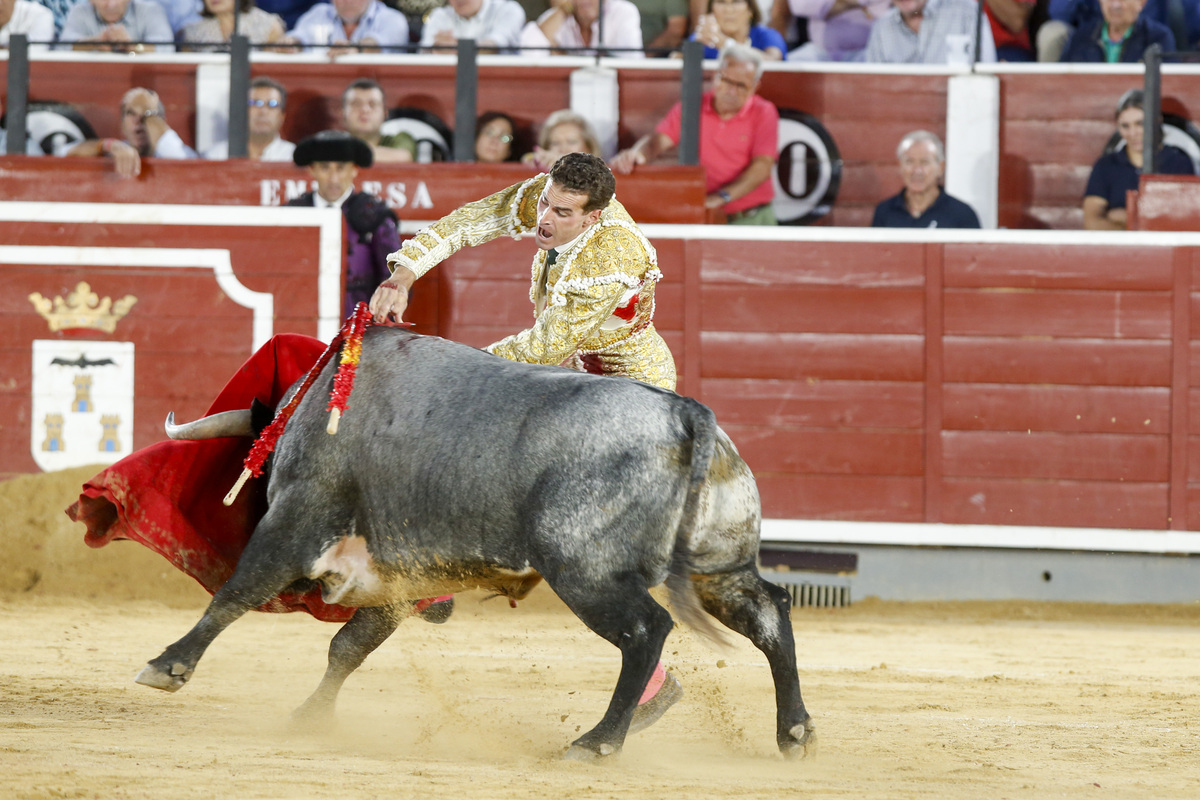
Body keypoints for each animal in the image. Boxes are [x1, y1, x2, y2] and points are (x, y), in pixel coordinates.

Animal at [138, 326, 816, 762]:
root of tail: (686, 415)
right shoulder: (399, 575)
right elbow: (348, 647)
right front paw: (310, 718)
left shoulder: (297, 521)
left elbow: (237, 591)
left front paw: (167, 665)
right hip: (719, 567)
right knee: (769, 613)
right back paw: (795, 733)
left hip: (583, 568)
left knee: (645, 631)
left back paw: (596, 742)